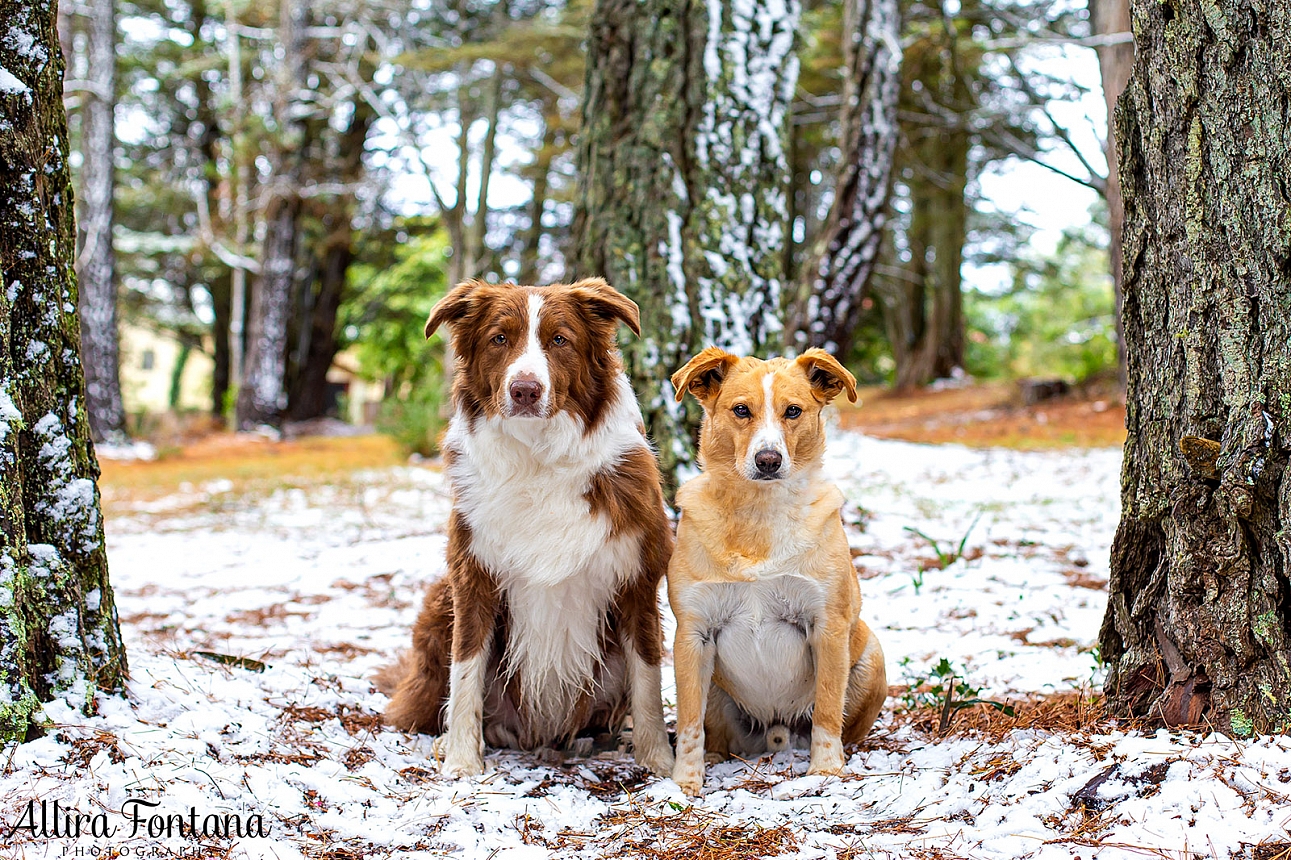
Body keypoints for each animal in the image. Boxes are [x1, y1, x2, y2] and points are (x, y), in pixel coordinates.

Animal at [666, 346, 888, 795]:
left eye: (793, 411)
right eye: (741, 410)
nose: (768, 460)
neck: (758, 513)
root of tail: (776, 731)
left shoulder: (827, 625)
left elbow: (827, 709)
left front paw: (825, 771)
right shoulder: (692, 634)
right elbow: (689, 721)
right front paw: (685, 783)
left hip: (871, 657)